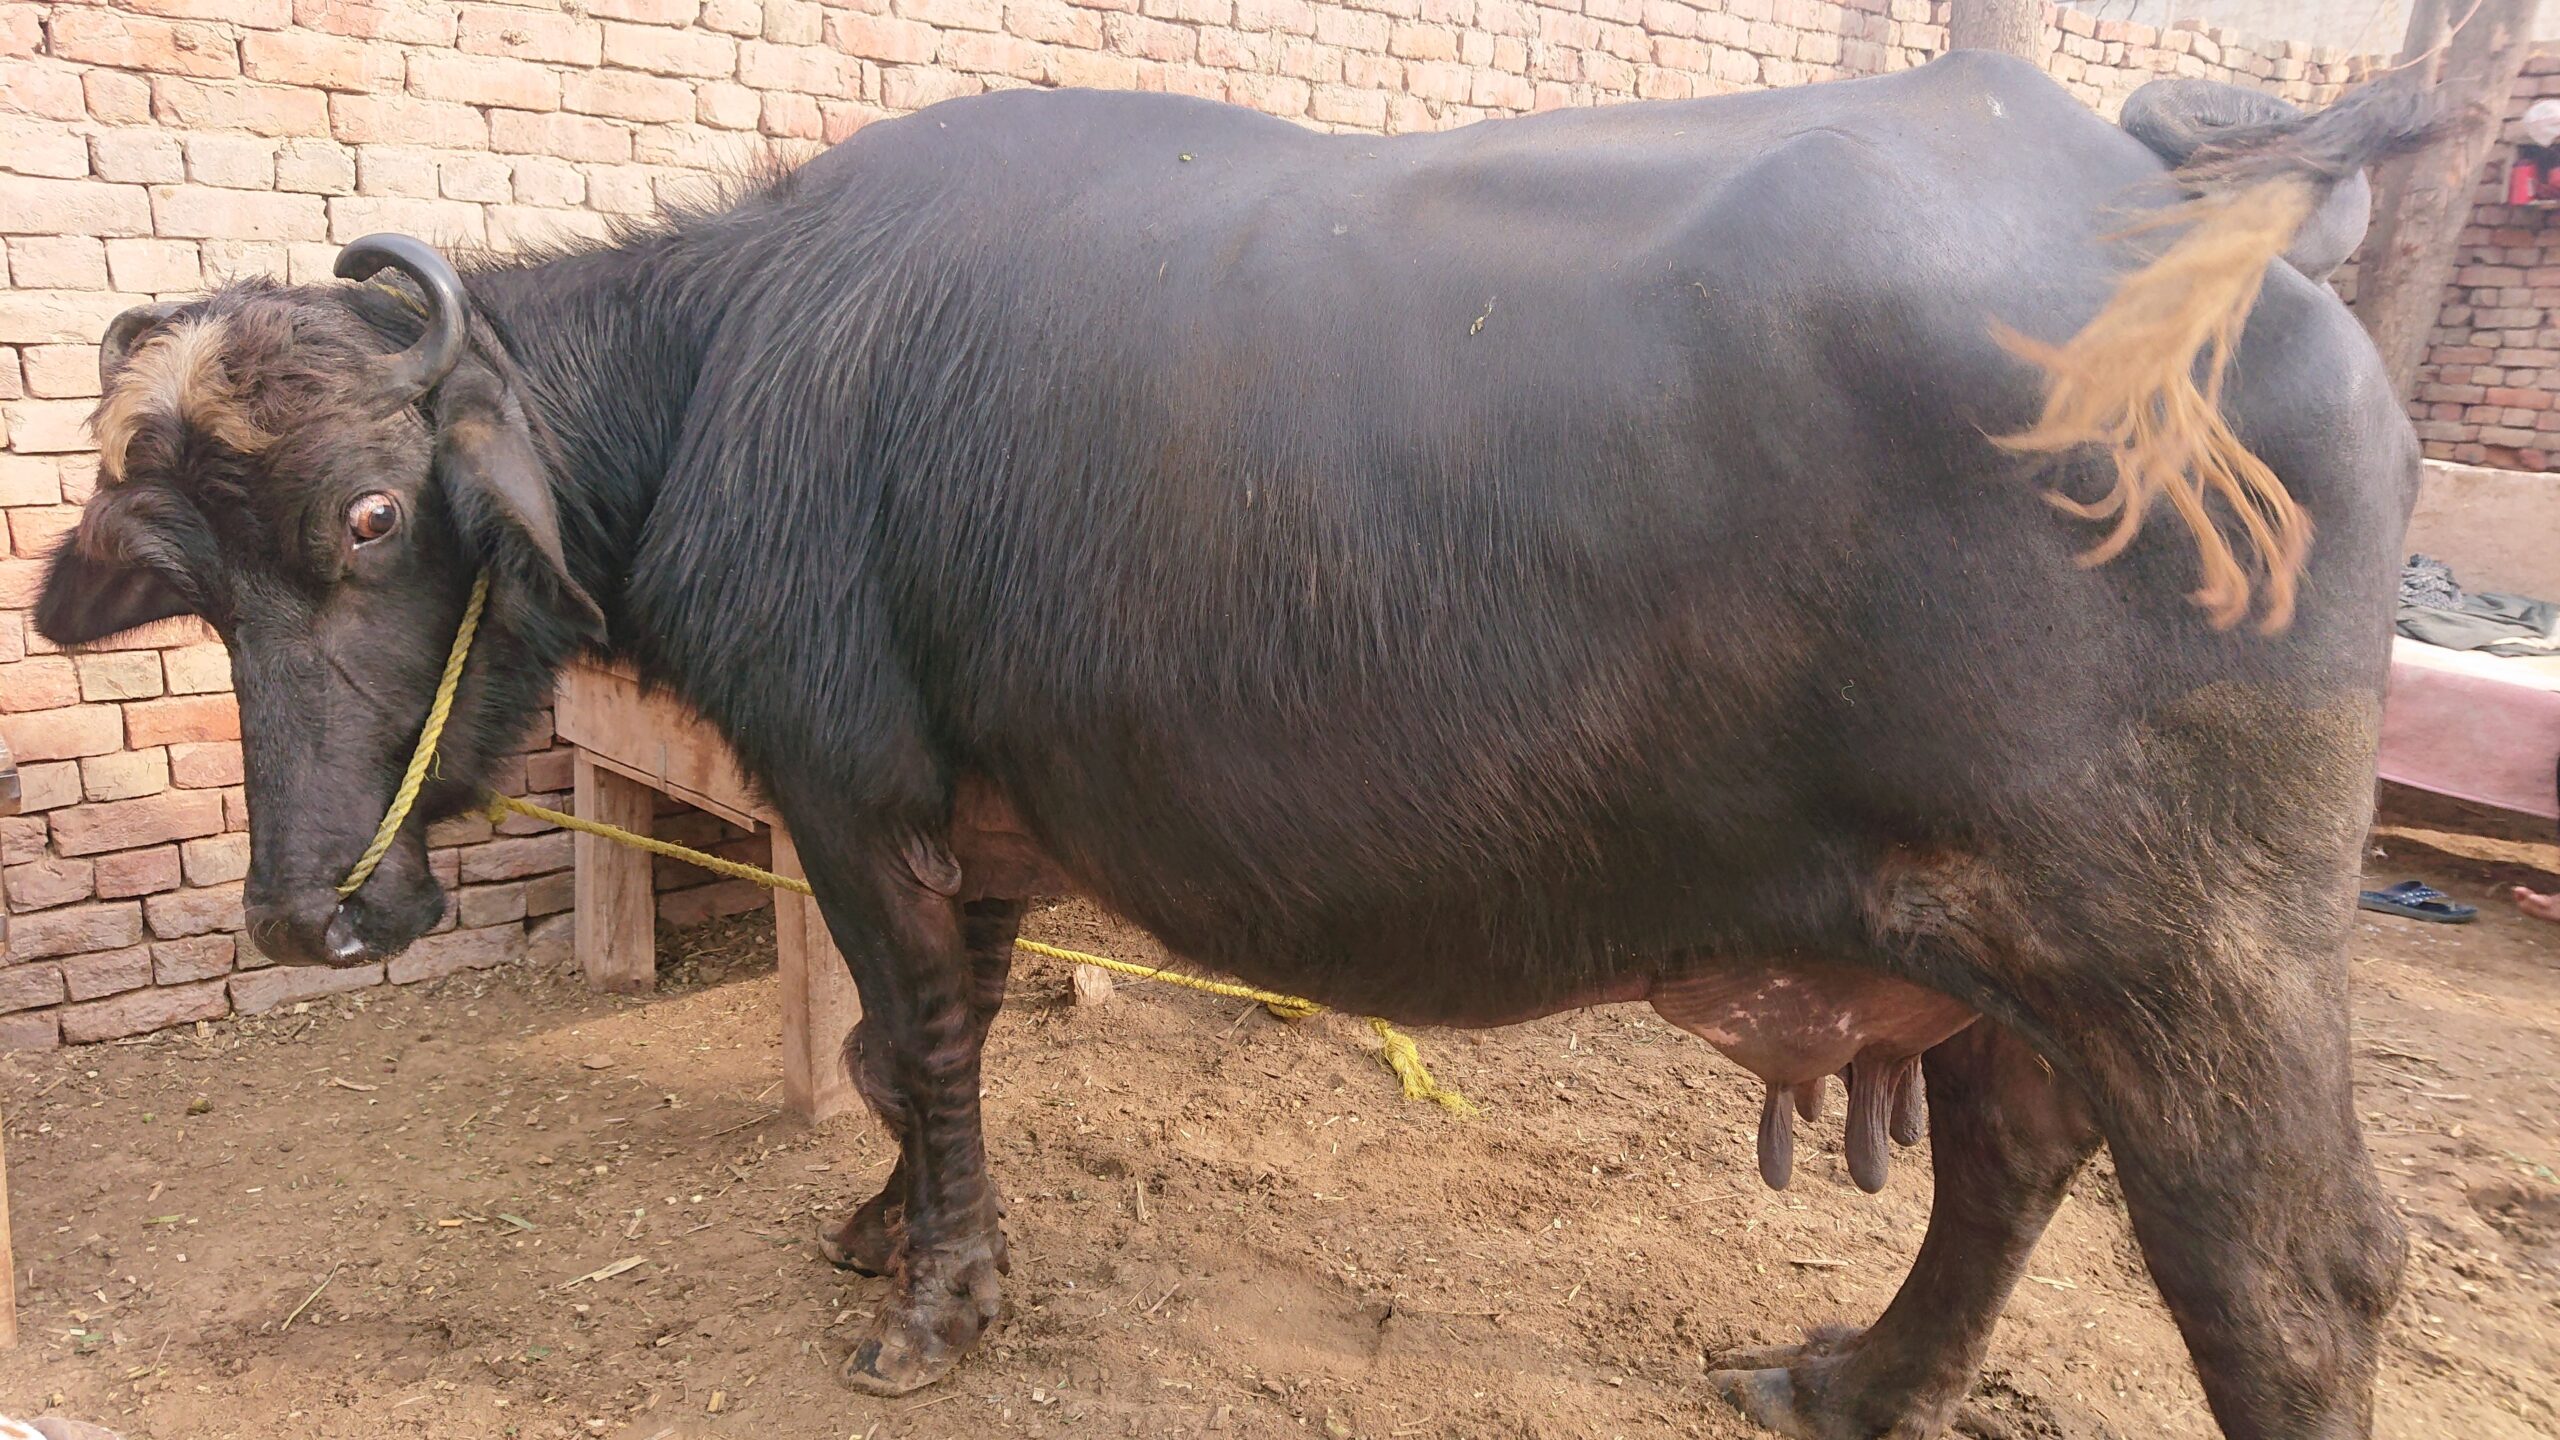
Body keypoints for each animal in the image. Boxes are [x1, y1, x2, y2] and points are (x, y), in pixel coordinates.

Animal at [36, 53, 2432, 1439]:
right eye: (187, 570)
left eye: (373, 516)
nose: (306, 914)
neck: (742, 364)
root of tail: (2197, 225)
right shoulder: (974, 821)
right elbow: (923, 1045)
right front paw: (892, 1224)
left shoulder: (851, 788)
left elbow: (913, 1033)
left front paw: (940, 1299)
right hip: (2014, 938)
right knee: (2018, 1159)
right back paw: (1848, 1378)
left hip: (2190, 939)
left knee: (2291, 1279)